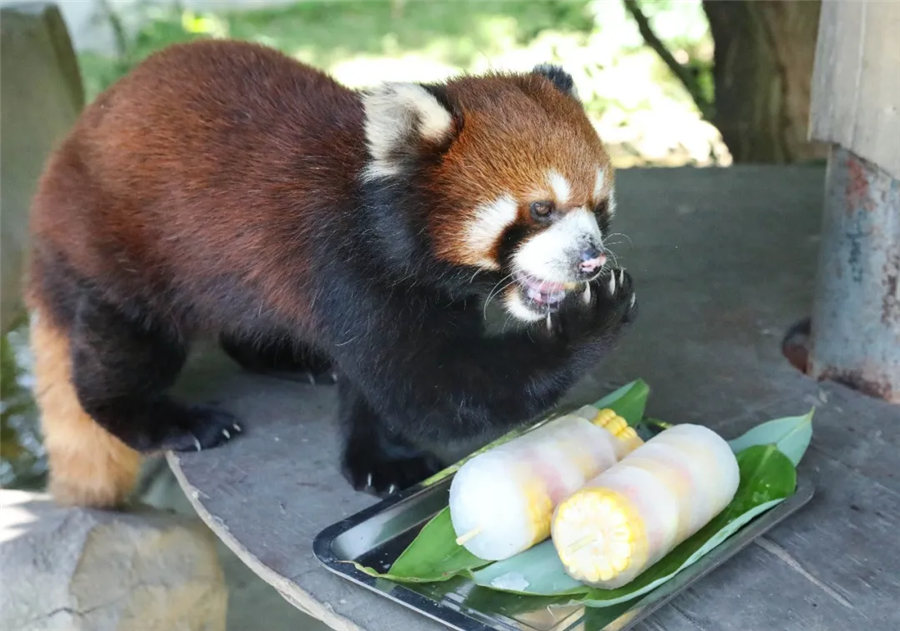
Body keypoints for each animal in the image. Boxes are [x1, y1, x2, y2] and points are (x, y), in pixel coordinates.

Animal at [26, 38, 632, 508]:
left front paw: (374, 455)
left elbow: (380, 382)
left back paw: (290, 359)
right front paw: (594, 318)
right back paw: (162, 419)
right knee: (128, 344)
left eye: (599, 207)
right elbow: (432, 392)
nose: (591, 260)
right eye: (541, 210)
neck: (380, 220)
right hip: (116, 250)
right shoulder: (344, 268)